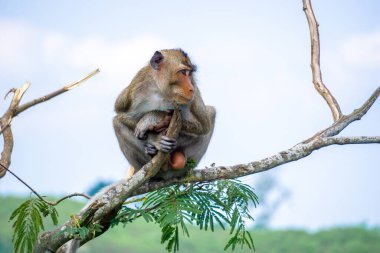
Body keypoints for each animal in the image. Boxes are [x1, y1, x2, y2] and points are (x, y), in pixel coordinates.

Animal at [111, 49, 215, 180]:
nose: (191, 88)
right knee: (117, 123)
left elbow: (204, 126)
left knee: (211, 112)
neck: (162, 93)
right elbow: (120, 114)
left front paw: (153, 117)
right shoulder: (135, 88)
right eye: (183, 72)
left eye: (190, 73)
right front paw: (155, 139)